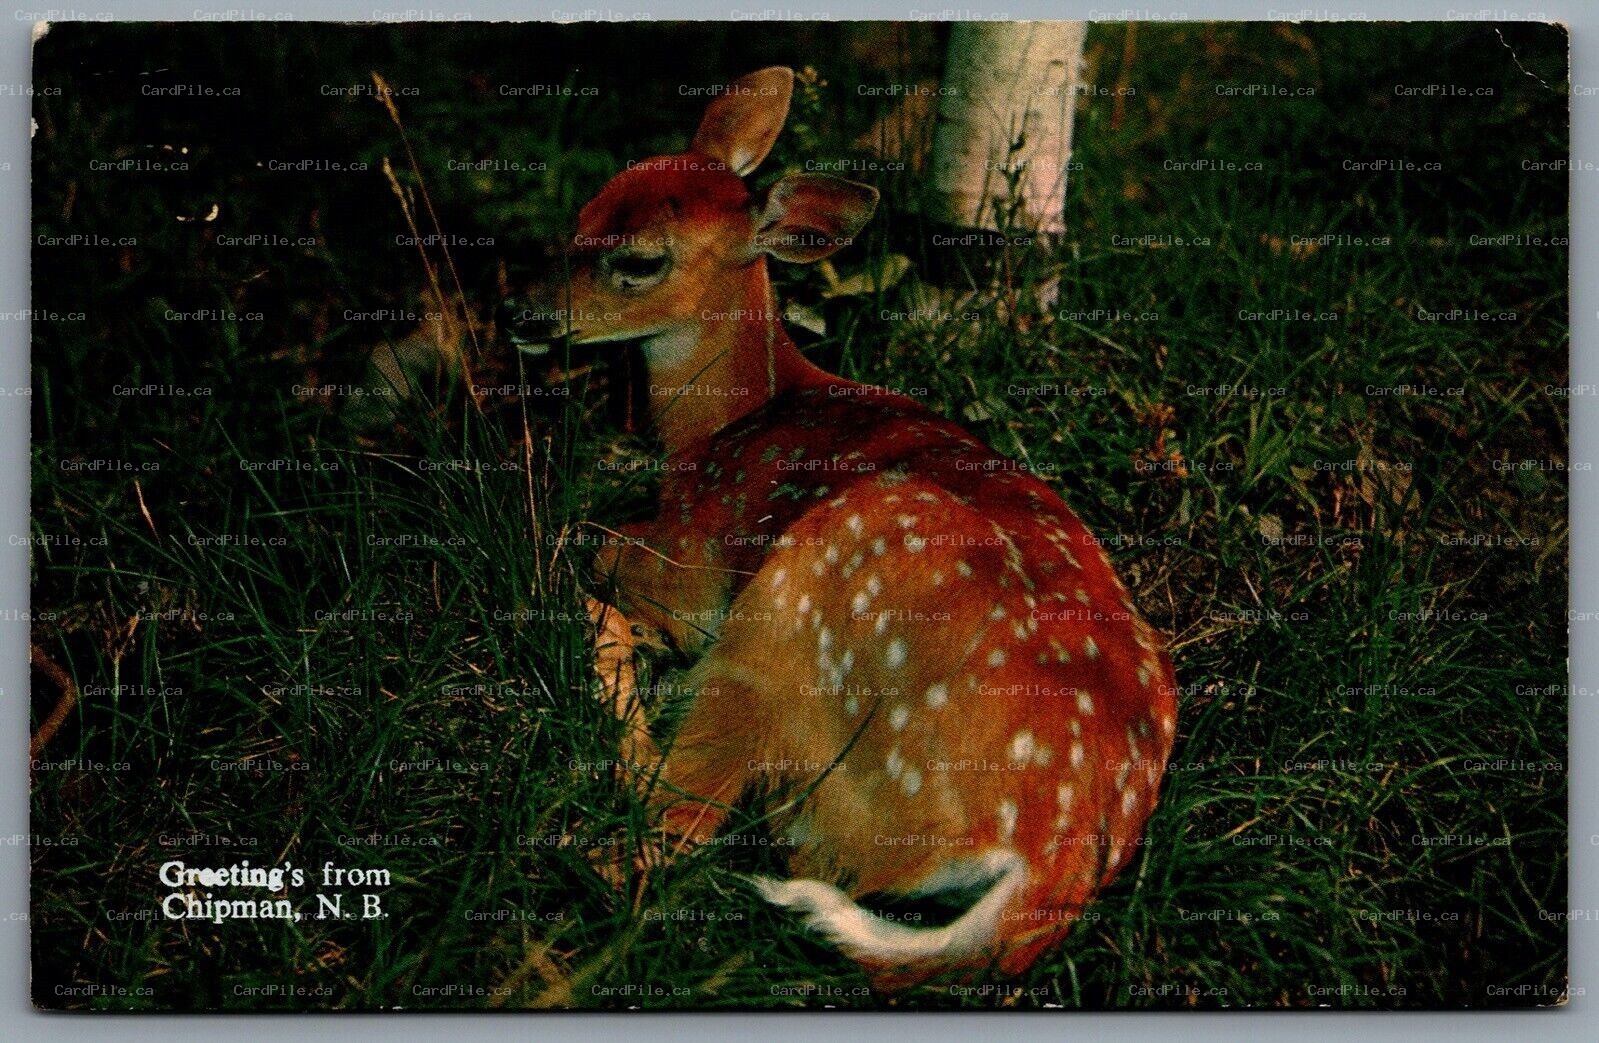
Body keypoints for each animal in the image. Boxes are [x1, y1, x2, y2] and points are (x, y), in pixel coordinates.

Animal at [505, 66, 1178, 986]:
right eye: (586, 209)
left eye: (639, 259)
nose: (521, 312)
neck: (725, 424)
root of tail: (1047, 862)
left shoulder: (695, 560)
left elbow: (597, 542)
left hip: (795, 608)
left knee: (673, 824)